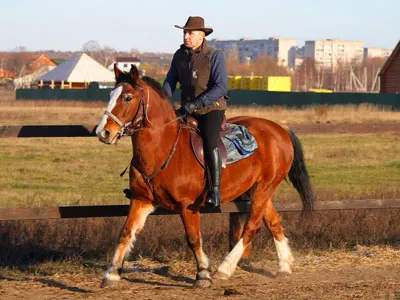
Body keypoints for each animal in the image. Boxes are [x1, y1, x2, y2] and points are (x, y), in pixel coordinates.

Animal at [95, 65, 314, 288]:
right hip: (259, 189)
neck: (163, 148)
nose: (103, 132)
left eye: (128, 98)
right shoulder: (141, 200)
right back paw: (284, 266)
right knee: (273, 221)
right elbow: (125, 233)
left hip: (264, 188)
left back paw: (225, 268)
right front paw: (111, 274)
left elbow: (193, 238)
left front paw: (202, 274)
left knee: (252, 226)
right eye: (111, 95)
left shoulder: (187, 206)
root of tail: (280, 129)